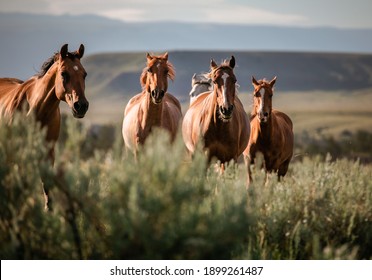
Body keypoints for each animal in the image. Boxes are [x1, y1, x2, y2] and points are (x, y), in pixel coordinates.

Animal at [0, 44, 89, 210]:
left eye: (84, 74)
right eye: (64, 73)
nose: (81, 106)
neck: (36, 110)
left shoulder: (48, 153)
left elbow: (47, 189)